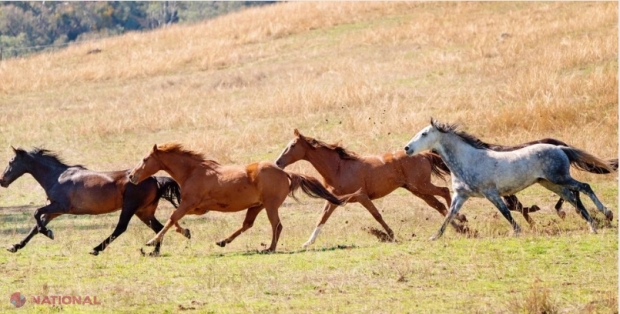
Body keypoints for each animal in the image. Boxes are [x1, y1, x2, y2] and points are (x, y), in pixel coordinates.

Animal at [128, 144, 352, 251]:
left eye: (145, 159)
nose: (131, 176)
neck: (193, 171)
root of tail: (286, 173)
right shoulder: (196, 207)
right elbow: (175, 220)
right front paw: (187, 232)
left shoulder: (189, 203)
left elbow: (172, 218)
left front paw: (151, 241)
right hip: (256, 206)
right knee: (247, 225)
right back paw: (223, 242)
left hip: (270, 206)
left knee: (277, 226)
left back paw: (269, 248)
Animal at [276, 129, 464, 247]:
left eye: (292, 146)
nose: (278, 162)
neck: (339, 168)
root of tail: (424, 154)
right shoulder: (334, 200)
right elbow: (322, 219)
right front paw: (308, 242)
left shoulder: (361, 196)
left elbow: (377, 215)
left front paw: (391, 236)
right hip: (417, 189)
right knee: (437, 204)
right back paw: (459, 227)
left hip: (421, 186)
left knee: (444, 191)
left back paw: (461, 219)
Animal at [404, 119, 612, 239]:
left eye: (424, 134)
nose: (407, 148)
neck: (468, 160)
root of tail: (560, 148)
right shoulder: (461, 195)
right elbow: (449, 215)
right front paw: (435, 237)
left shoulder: (491, 193)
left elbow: (505, 212)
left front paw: (518, 231)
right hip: (550, 183)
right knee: (572, 197)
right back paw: (591, 225)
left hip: (560, 178)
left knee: (584, 187)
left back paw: (606, 215)